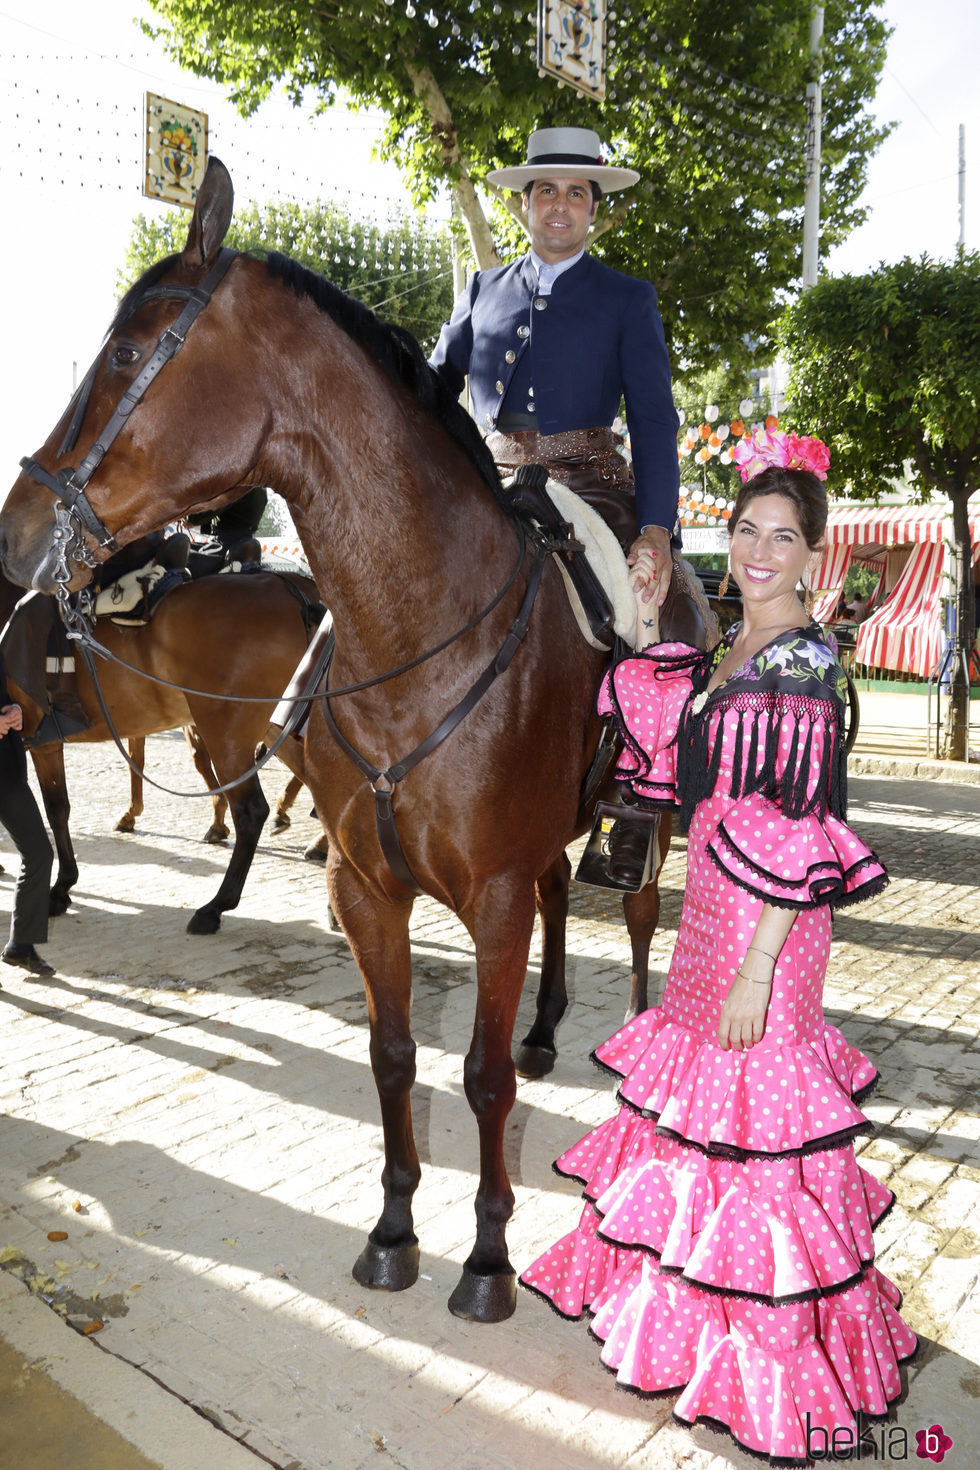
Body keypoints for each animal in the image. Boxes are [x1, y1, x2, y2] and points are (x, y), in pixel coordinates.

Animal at [2, 567, 326, 934]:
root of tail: (290, 588)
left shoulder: (41, 742)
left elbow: (55, 811)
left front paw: (59, 888)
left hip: (227, 736)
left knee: (251, 811)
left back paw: (216, 906)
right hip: (274, 728)